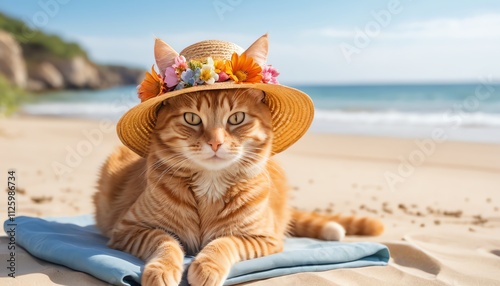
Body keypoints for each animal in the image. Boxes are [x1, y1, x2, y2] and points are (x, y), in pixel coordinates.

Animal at [94, 88, 382, 284]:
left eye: (236, 118)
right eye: (192, 118)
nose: (215, 143)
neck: (210, 183)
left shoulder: (263, 238)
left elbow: (225, 242)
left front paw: (207, 266)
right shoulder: (128, 229)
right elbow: (164, 240)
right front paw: (162, 269)